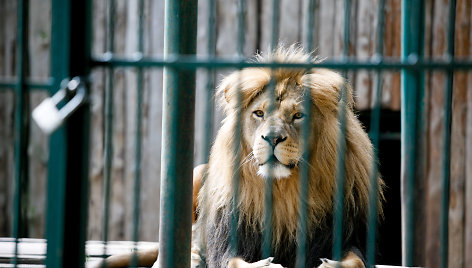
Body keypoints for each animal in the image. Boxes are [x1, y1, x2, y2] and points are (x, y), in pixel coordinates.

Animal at [98, 45, 384, 266]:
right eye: (259, 113)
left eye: (298, 115)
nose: (272, 138)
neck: (284, 189)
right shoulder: (229, 235)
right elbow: (233, 261)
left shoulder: (347, 232)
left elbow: (356, 260)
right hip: (197, 173)